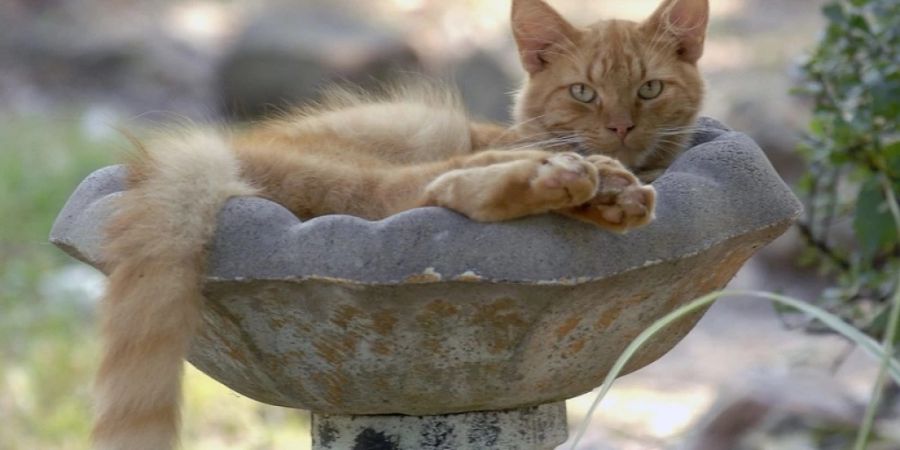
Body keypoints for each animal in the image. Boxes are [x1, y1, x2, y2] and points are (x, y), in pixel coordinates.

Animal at [91, 0, 712, 448]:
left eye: (649, 89)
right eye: (583, 92)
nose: (620, 128)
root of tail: (221, 150)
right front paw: (594, 170)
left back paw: (593, 190)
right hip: (399, 138)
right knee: (421, 189)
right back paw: (566, 179)